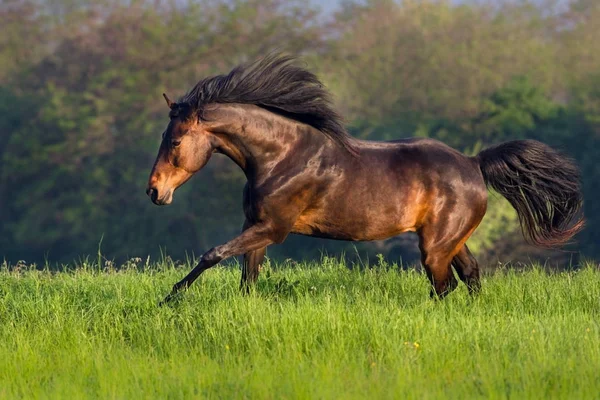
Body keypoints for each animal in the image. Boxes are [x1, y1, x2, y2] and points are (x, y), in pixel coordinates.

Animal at [148, 53, 584, 304]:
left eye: (175, 140)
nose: (154, 191)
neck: (282, 157)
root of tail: (474, 163)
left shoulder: (274, 228)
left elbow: (213, 254)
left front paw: (169, 299)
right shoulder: (255, 226)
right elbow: (247, 278)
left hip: (435, 245)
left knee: (445, 285)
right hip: (452, 240)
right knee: (471, 275)